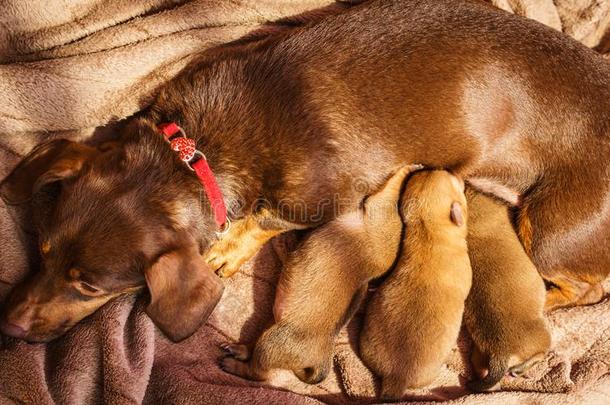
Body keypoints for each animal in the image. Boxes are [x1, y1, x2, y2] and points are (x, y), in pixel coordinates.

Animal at [1, 0, 608, 340]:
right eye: (43, 252)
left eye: (88, 285)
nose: (10, 327)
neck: (197, 153)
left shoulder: (320, 201)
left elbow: (266, 220)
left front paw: (229, 248)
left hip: (548, 231)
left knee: (587, 289)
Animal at [218, 163, 418, 382]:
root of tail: (320, 362)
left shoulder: (380, 205)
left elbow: (393, 184)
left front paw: (409, 168)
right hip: (270, 329)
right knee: (253, 353)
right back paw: (238, 350)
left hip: (271, 344)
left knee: (258, 373)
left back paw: (232, 364)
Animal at [460, 189, 552, 392]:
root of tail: (500, 353)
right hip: (542, 335)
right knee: (540, 353)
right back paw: (520, 369)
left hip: (479, 357)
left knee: (482, 374)